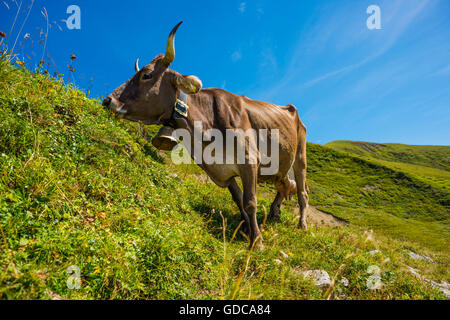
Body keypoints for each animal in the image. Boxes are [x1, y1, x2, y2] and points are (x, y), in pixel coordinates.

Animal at [103, 21, 310, 250]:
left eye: (146, 75)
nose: (108, 100)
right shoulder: (220, 171)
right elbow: (239, 201)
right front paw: (247, 229)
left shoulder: (249, 160)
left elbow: (250, 201)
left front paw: (257, 242)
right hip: (280, 166)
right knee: (284, 186)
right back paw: (274, 213)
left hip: (300, 157)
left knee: (302, 192)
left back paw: (302, 225)